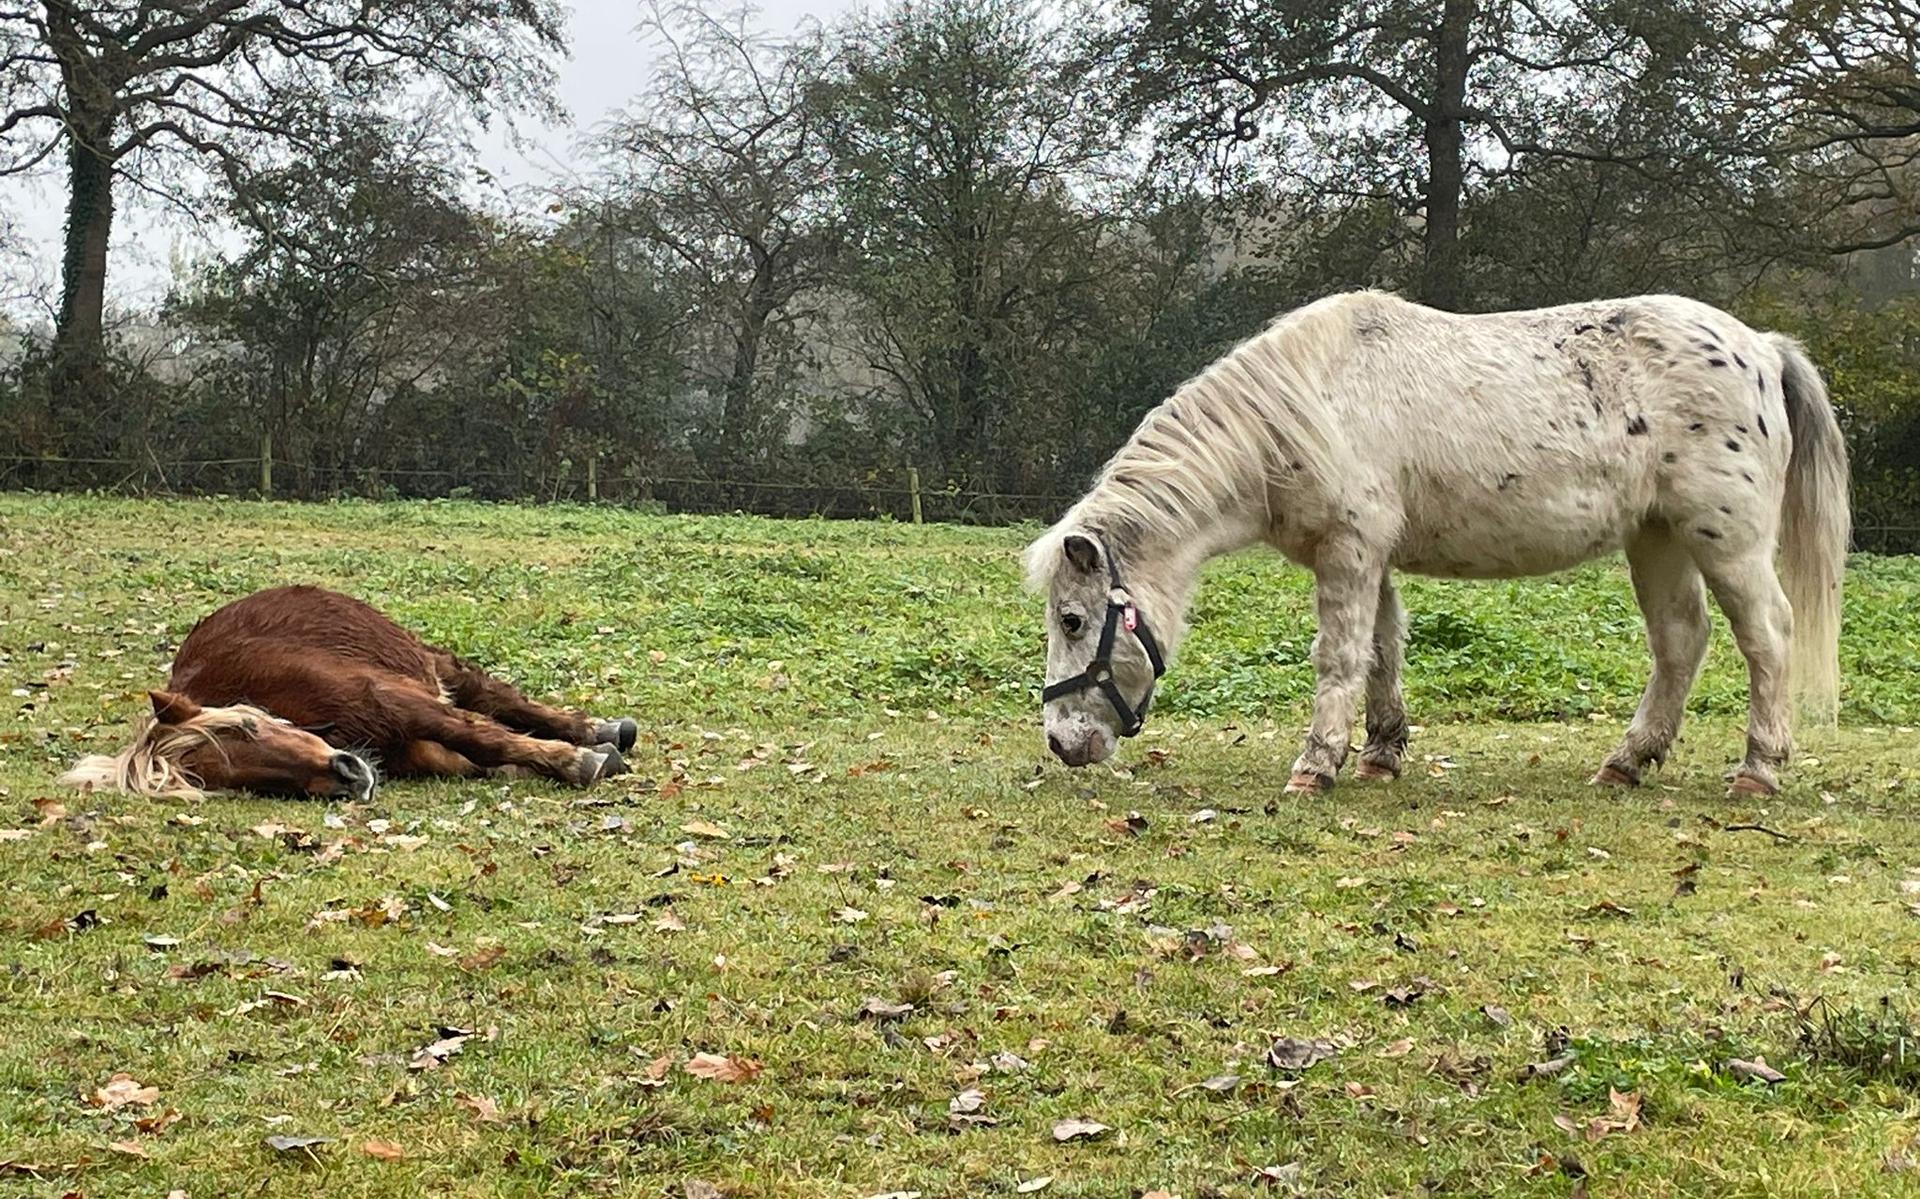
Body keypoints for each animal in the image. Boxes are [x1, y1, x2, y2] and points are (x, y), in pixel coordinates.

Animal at [61, 585, 638, 800]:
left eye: (250, 725)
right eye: (242, 783)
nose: (348, 775)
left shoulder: (390, 697)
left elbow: (485, 734)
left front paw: (578, 760)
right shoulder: (417, 746)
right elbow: (481, 754)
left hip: (431, 664)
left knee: (496, 698)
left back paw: (599, 731)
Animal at [1026, 290, 1850, 798]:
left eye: (1073, 620)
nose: (1062, 743)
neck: (1309, 404)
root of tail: (1760, 348)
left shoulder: (1350, 551)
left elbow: (1340, 657)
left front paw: (1315, 765)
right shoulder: (1372, 558)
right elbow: (1382, 651)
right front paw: (1380, 755)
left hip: (1727, 540)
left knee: (1767, 636)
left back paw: (1759, 768)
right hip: (1658, 541)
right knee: (1681, 640)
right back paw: (1626, 762)